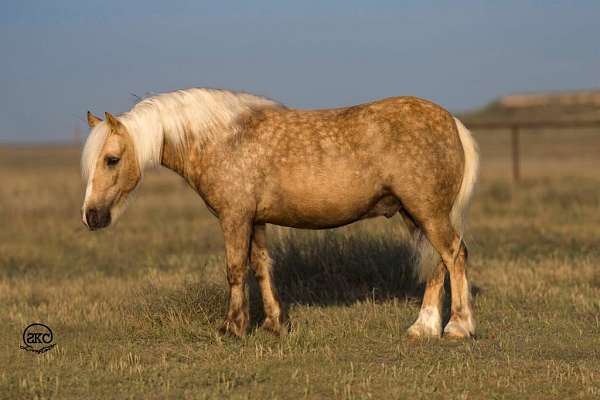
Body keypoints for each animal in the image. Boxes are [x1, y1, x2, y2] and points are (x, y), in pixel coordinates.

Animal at [82, 87, 480, 338]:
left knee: (453, 254)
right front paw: (275, 324)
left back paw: (458, 327)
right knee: (436, 264)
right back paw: (423, 328)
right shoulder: (256, 220)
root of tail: (451, 122)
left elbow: (235, 270)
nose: (92, 216)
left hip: (427, 212)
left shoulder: (235, 218)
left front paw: (232, 327)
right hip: (416, 215)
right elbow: (262, 267)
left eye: (112, 159)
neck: (223, 139)